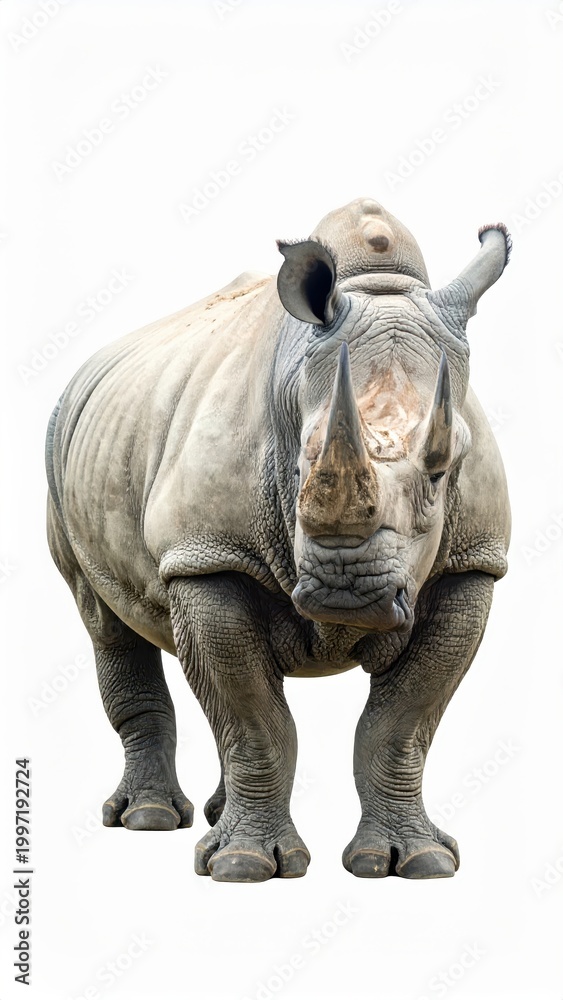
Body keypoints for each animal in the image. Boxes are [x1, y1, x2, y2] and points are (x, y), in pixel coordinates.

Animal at [46, 197, 511, 882]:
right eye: (300, 466)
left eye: (444, 466)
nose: (348, 595)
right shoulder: (208, 555)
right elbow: (254, 718)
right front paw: (243, 867)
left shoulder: (472, 563)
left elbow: (400, 723)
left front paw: (417, 862)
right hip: (61, 443)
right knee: (105, 619)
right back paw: (149, 820)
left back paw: (211, 816)